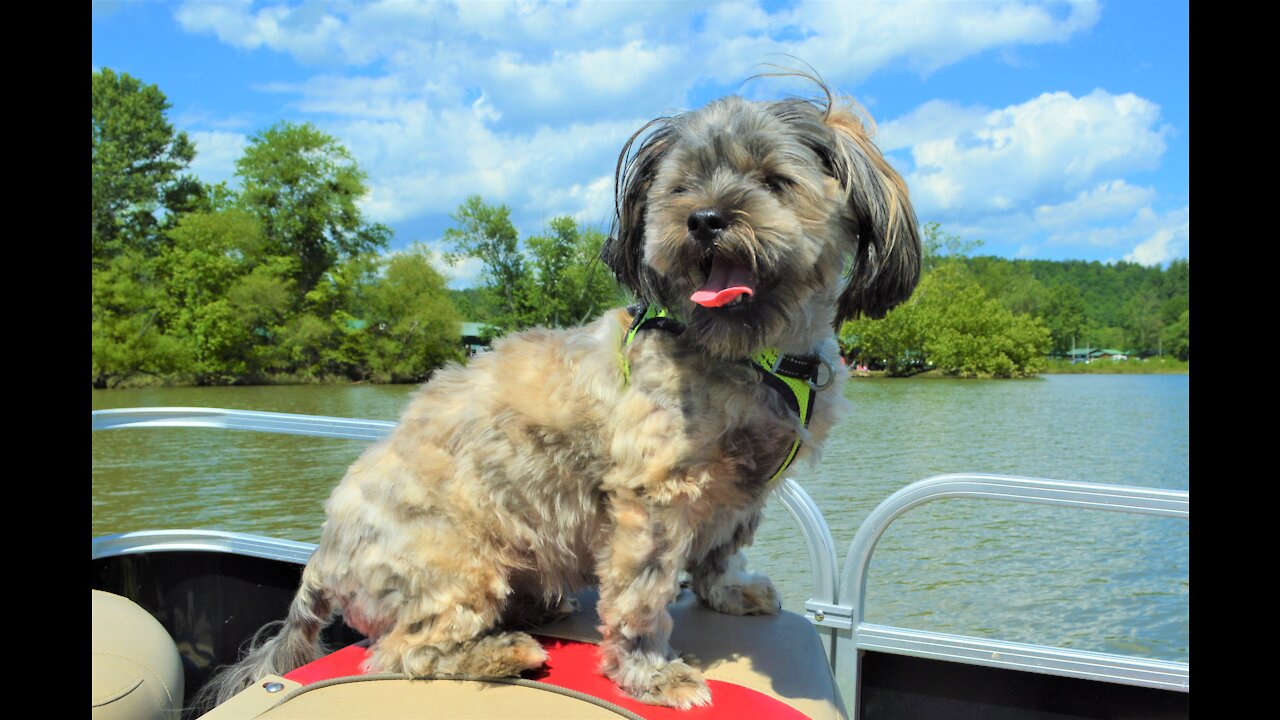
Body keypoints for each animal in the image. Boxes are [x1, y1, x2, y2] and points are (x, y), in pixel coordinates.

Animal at [197, 75, 921, 707]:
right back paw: (504, 651)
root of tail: (321, 557)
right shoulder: (652, 501)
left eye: (774, 181)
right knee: (406, 651)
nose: (704, 219)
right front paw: (652, 673)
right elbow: (641, 595)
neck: (754, 355)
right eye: (681, 186)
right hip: (457, 565)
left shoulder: (744, 487)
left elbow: (722, 549)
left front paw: (730, 591)